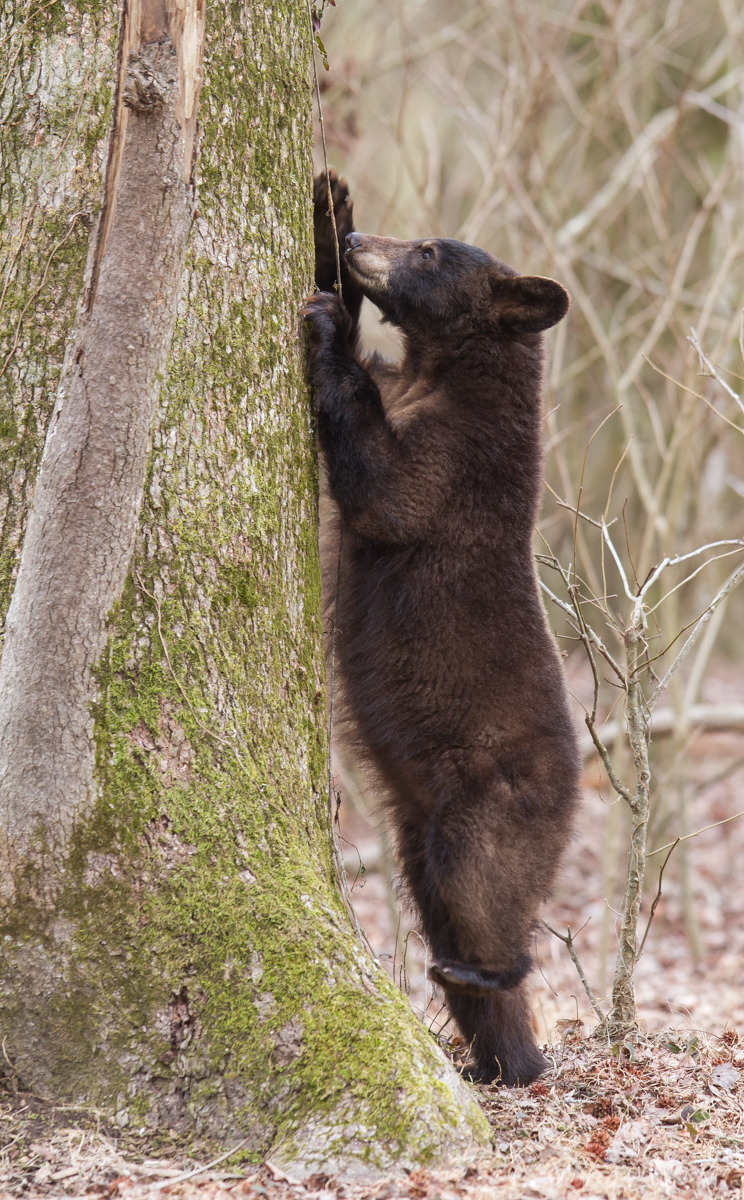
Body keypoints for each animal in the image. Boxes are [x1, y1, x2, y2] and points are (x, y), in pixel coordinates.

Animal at [304, 172, 580, 1086]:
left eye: (429, 251)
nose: (368, 246)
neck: (443, 370)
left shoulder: (461, 457)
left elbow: (388, 491)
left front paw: (324, 322)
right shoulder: (413, 388)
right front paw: (331, 212)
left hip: (492, 802)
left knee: (487, 891)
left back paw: (485, 980)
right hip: (416, 832)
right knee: (445, 906)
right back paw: (502, 1053)